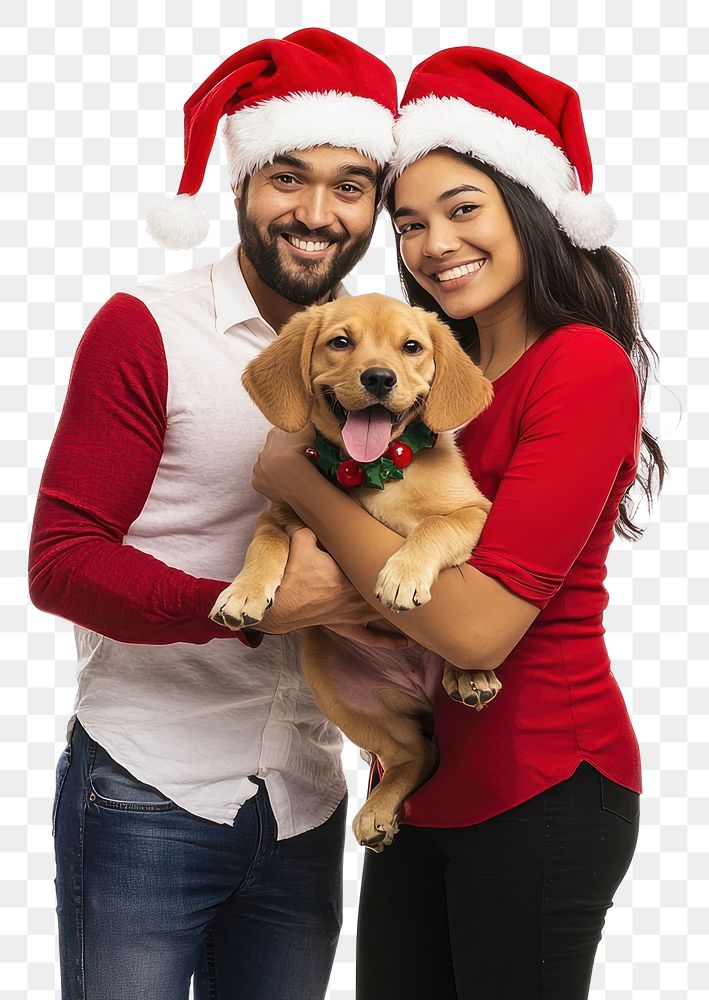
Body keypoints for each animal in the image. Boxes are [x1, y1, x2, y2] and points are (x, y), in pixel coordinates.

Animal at [210, 292, 498, 848]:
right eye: (340, 342)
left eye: (412, 347)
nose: (379, 379)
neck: (372, 470)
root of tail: (418, 688)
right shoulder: (280, 512)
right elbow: (265, 544)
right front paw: (243, 592)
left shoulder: (475, 512)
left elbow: (434, 528)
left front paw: (402, 575)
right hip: (336, 687)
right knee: (417, 754)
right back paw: (379, 811)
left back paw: (469, 674)